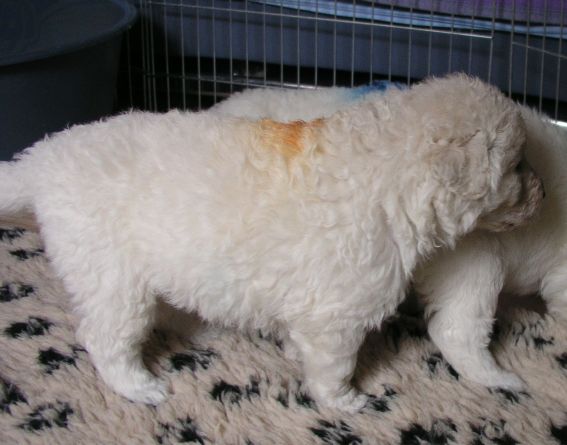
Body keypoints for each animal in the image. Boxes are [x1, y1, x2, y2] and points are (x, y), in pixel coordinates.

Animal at [0, 74, 543, 412]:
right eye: (517, 166)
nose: (543, 192)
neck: (391, 181)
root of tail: (40, 161)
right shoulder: (338, 313)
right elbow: (334, 364)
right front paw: (345, 401)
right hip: (109, 276)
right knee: (105, 337)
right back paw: (140, 387)